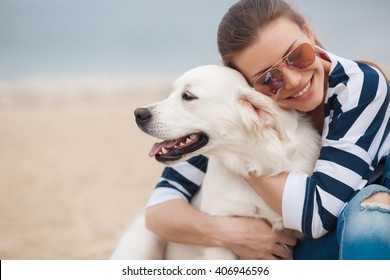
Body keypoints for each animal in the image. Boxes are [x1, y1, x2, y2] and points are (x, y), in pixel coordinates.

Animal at [110, 64, 320, 260]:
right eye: (172, 92)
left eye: (188, 96)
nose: (138, 114)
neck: (251, 161)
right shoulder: (222, 234)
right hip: (144, 238)